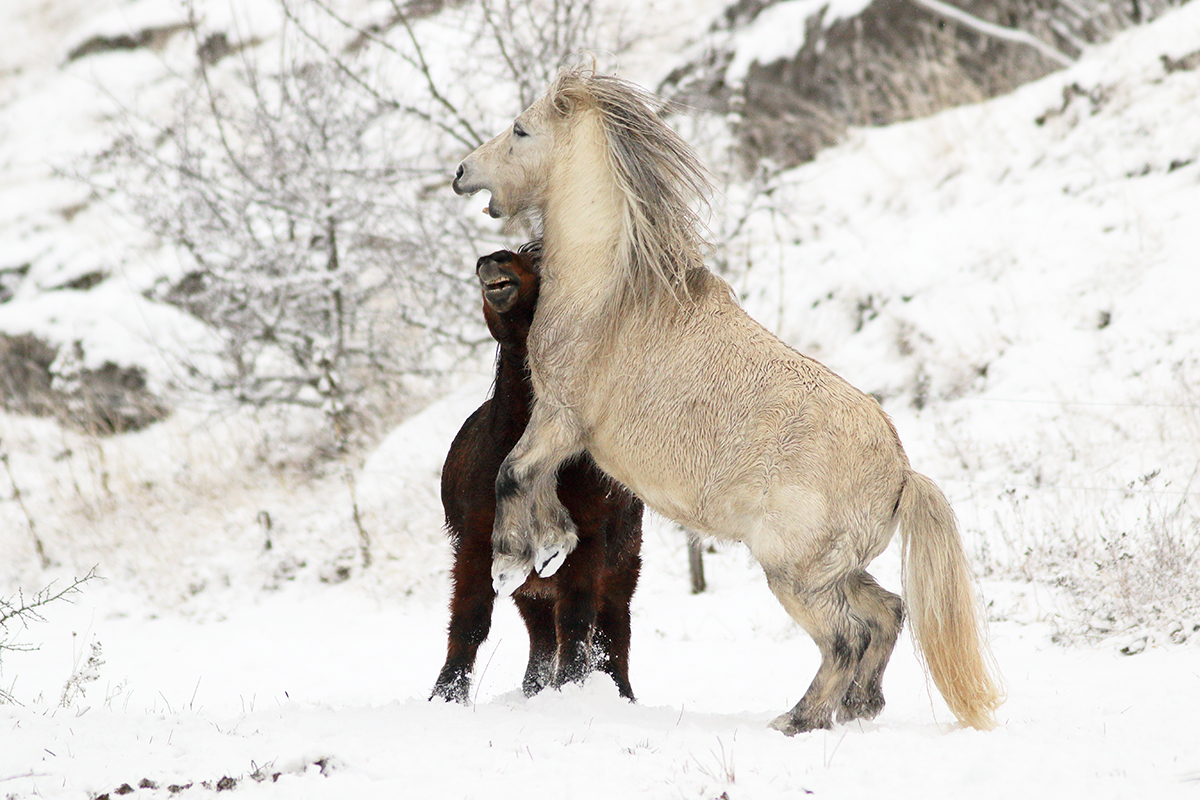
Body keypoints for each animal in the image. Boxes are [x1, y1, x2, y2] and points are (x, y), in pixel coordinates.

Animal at [434, 247, 648, 705]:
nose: (493, 260)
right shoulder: (477, 546)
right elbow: (468, 622)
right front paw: (444, 697)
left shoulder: (586, 547)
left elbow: (577, 622)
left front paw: (569, 689)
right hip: (530, 588)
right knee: (542, 636)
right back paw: (534, 691)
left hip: (620, 569)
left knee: (612, 630)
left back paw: (620, 694)